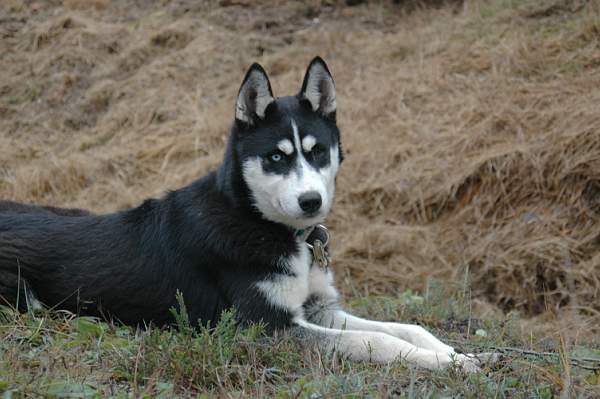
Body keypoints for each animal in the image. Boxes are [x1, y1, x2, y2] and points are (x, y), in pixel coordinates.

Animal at [0, 58, 482, 372]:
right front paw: (441, 363)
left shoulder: (318, 309)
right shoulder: (268, 327)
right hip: (24, 298)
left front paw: (457, 354)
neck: (262, 224)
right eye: (276, 157)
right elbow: (375, 339)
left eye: (317, 152)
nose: (311, 202)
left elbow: (407, 326)